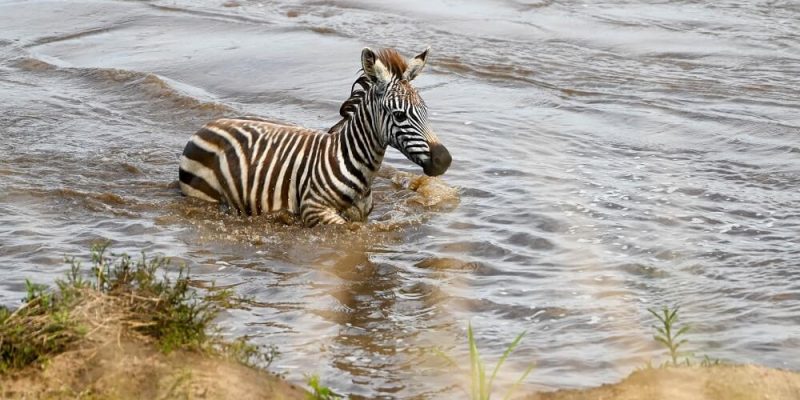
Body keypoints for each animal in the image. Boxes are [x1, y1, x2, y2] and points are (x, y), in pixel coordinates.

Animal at [178, 47, 451, 227]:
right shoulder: (314, 210)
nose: (445, 160)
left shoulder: (361, 215)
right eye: (399, 115)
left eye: (425, 111)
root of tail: (208, 124)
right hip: (204, 196)